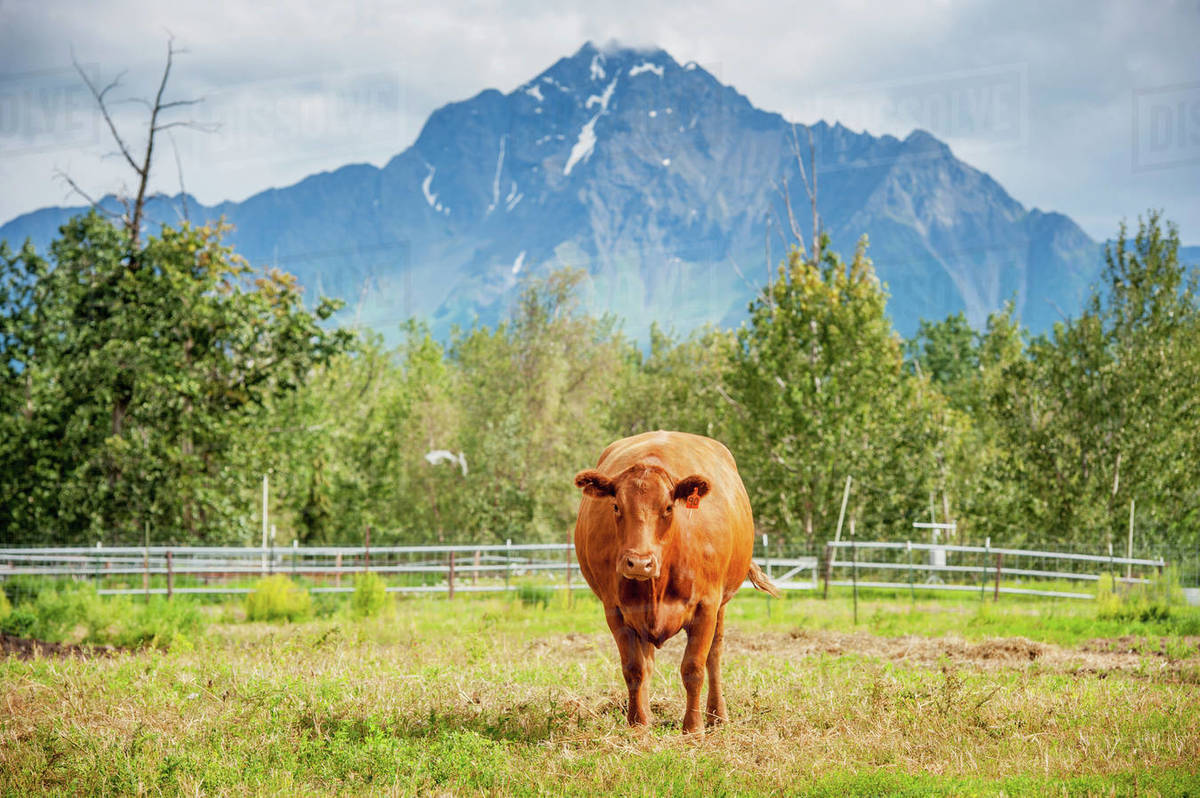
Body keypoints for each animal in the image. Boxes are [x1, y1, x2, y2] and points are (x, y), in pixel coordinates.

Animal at [572, 430, 779, 735]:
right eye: (616, 506)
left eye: (669, 507)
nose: (639, 562)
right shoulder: (616, 610)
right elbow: (634, 669)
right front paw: (638, 725)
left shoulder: (707, 605)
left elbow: (694, 668)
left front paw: (693, 728)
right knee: (647, 663)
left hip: (721, 605)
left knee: (714, 657)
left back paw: (717, 716)